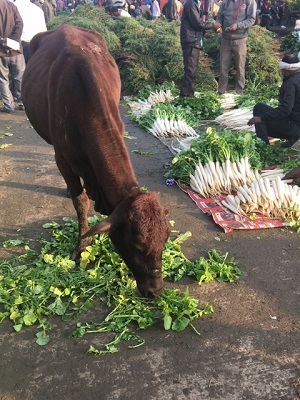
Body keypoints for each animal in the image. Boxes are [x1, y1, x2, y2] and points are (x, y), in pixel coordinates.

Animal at [21, 25, 171, 296]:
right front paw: (82, 245)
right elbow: (80, 202)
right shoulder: (62, 157)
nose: (154, 290)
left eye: (165, 240)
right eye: (136, 245)